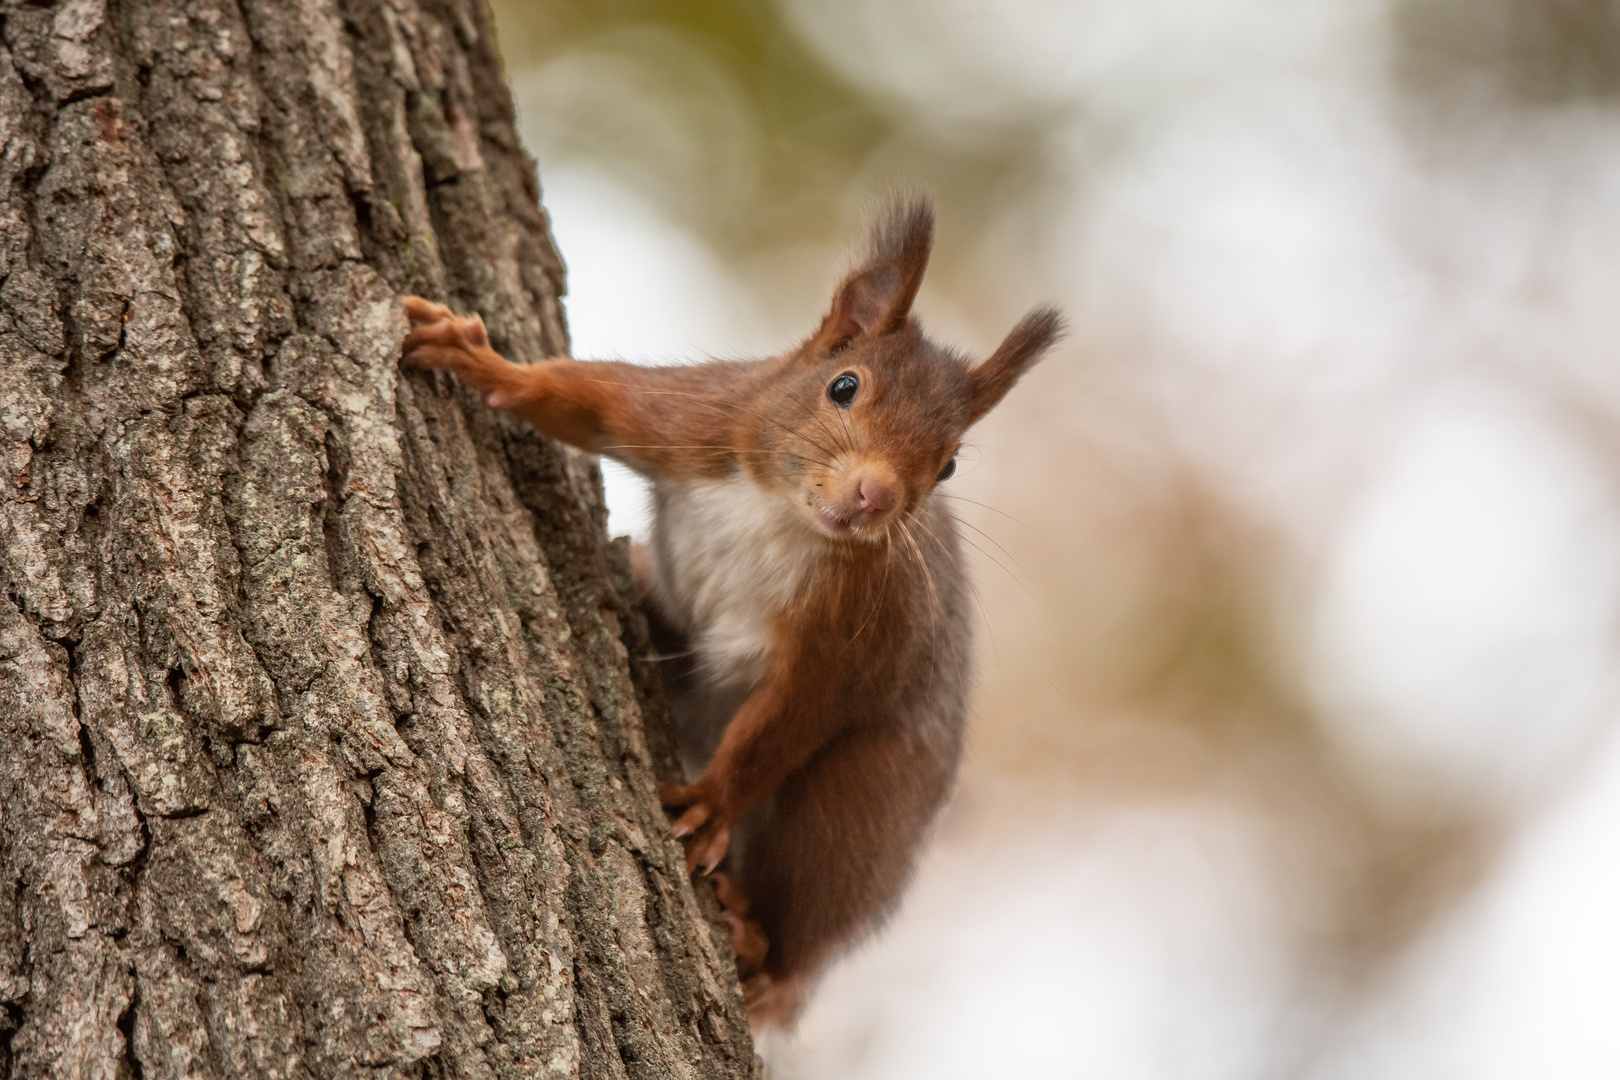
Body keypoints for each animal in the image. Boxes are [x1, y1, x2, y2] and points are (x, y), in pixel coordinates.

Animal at [400, 202, 1062, 1029]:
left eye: (948, 464)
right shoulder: (703, 418)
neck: (785, 512)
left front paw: (712, 805)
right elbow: (586, 400)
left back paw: (759, 946)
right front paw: (484, 364)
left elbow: (786, 720)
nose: (875, 496)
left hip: (858, 804)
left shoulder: (861, 627)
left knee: (807, 902)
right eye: (844, 386)